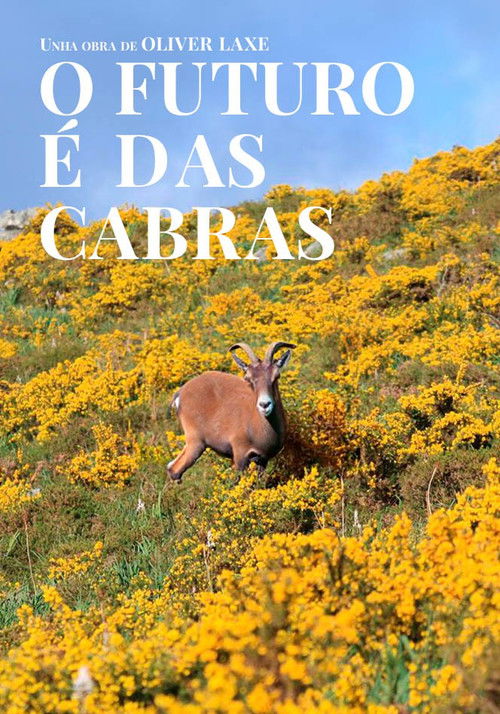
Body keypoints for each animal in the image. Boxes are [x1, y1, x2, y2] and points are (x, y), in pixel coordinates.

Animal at [167, 341, 296, 481]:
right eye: (248, 379)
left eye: (276, 376)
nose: (265, 405)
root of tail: (180, 393)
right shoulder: (240, 455)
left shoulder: (262, 459)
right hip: (195, 442)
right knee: (175, 470)